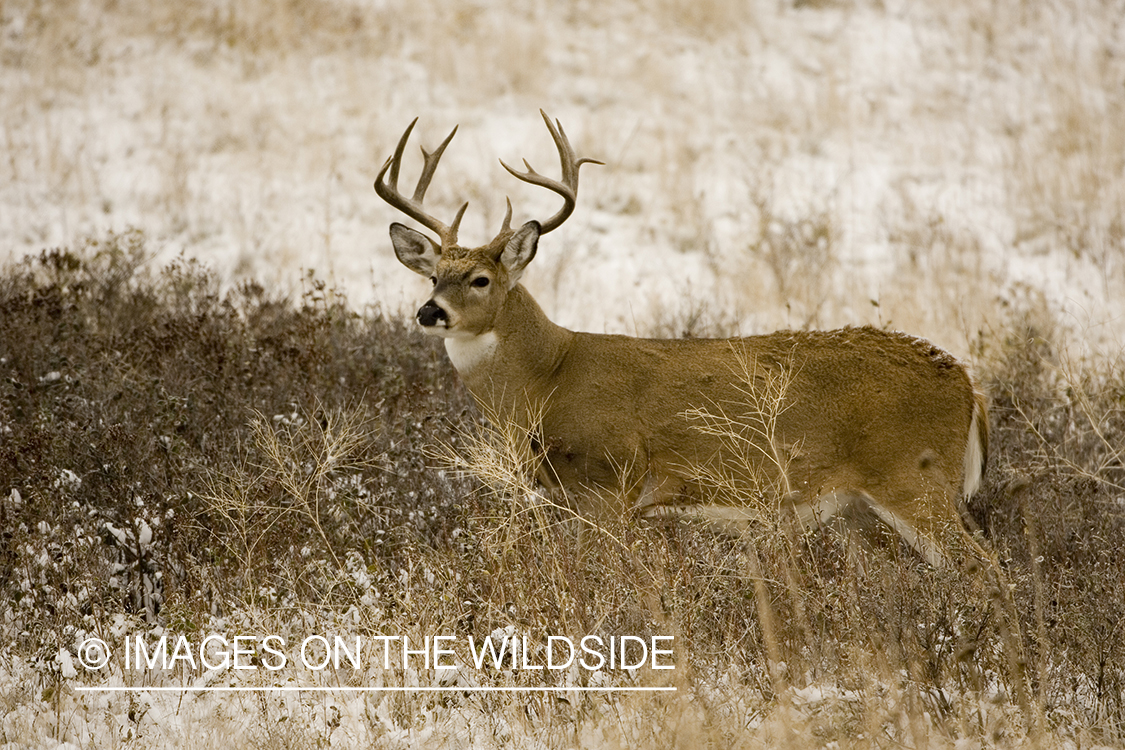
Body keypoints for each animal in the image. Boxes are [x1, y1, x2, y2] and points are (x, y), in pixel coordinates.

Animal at [380, 111, 994, 568]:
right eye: (434, 277)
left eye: (480, 280)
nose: (429, 311)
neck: (549, 377)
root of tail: (968, 385)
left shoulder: (614, 482)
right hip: (857, 508)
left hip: (914, 477)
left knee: (986, 569)